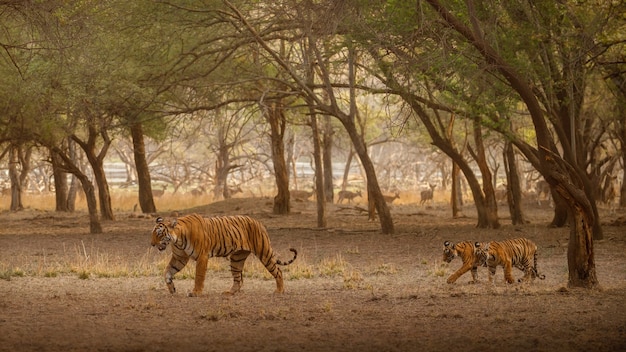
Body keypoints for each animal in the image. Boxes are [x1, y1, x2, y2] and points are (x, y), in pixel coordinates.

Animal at [151, 213, 298, 296]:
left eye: (159, 234)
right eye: (153, 233)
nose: (152, 244)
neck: (178, 239)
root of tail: (258, 222)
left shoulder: (202, 257)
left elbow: (199, 276)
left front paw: (196, 292)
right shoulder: (179, 258)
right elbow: (167, 272)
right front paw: (171, 289)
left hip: (264, 253)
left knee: (278, 271)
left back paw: (279, 291)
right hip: (236, 259)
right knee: (239, 279)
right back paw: (230, 293)